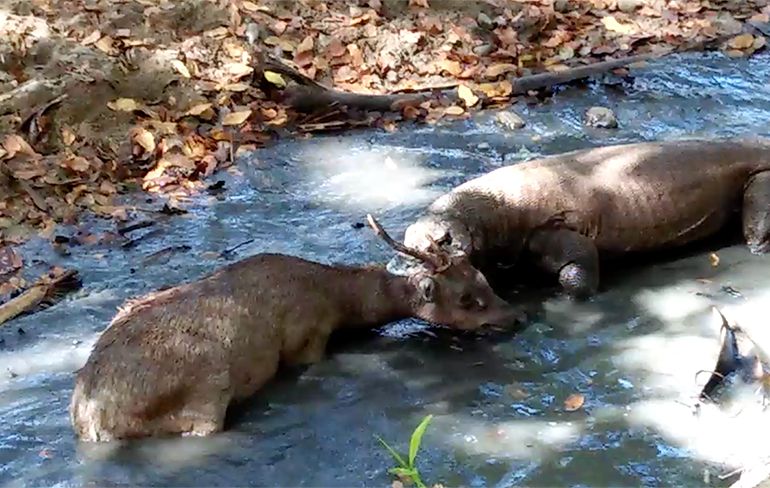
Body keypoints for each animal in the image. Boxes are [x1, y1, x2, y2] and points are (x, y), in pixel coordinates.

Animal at [70, 214, 520, 442]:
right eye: (467, 299)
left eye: (484, 278)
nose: (516, 316)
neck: (337, 303)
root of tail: (91, 418)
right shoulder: (309, 340)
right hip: (206, 389)